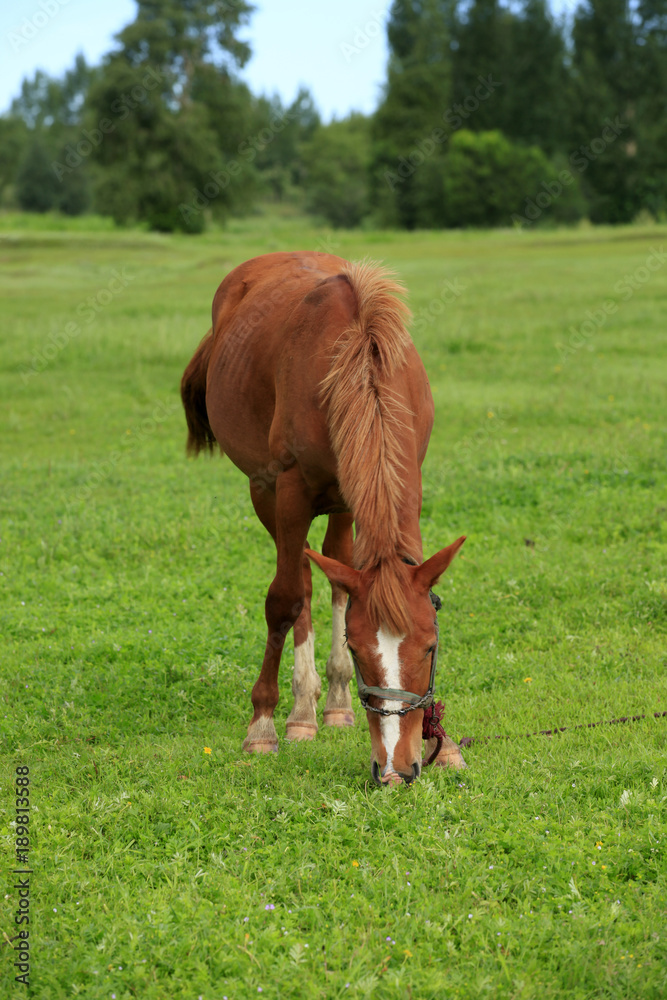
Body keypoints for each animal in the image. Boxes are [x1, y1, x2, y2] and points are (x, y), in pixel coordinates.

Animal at [181, 251, 467, 785]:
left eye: (430, 648)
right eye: (359, 651)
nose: (395, 768)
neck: (356, 362)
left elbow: (343, 579)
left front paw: (445, 741)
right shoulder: (290, 491)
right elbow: (285, 600)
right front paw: (264, 724)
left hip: (343, 501)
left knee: (335, 572)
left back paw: (331, 701)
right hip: (265, 492)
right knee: (301, 581)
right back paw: (302, 708)